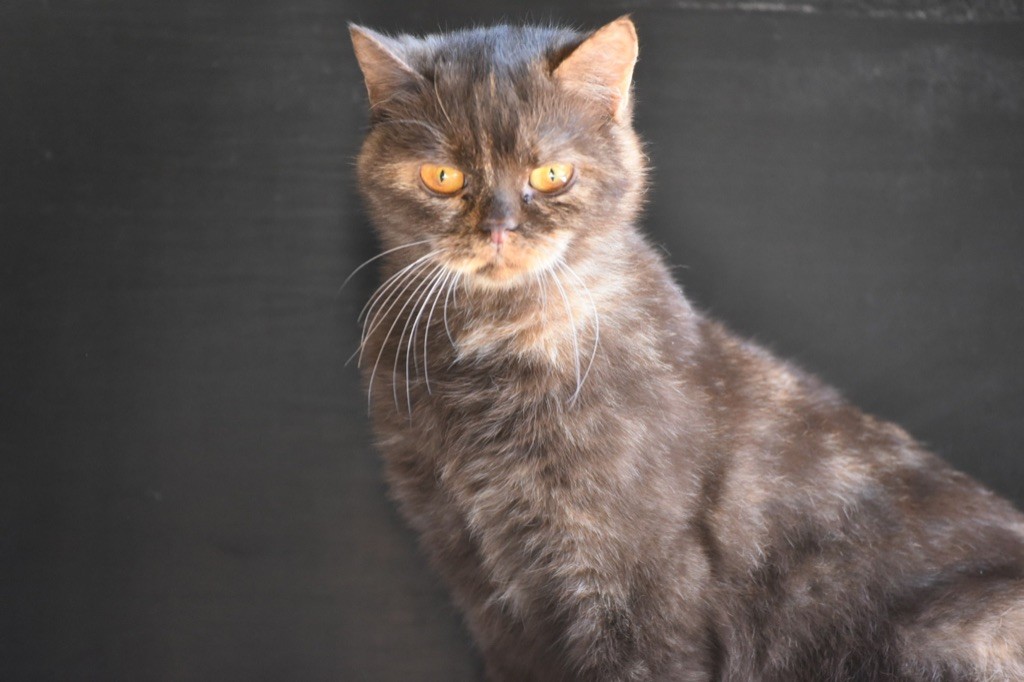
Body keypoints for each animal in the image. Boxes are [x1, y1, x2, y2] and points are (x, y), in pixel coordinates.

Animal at [346, 15, 1024, 679]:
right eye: (443, 177)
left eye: (551, 174)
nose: (499, 227)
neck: (491, 351)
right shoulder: (480, 584)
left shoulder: (639, 583)